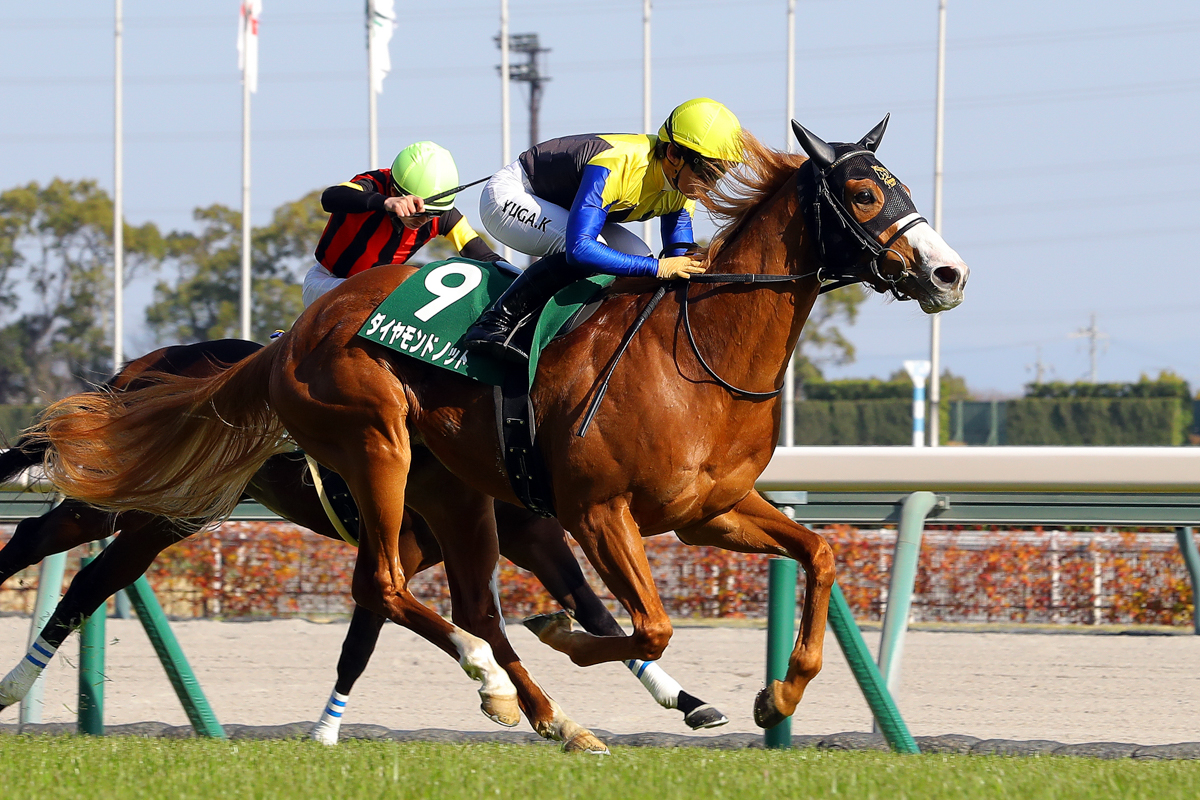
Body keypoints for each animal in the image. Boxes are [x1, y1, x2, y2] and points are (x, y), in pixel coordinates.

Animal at [0, 341, 728, 741]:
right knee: (39, 539)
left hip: (167, 512)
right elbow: (376, 635)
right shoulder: (407, 544)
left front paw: (689, 703)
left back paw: (15, 683)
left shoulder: (529, 534)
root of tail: (139, 367)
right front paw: (326, 731)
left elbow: (591, 609)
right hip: (130, 498)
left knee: (93, 580)